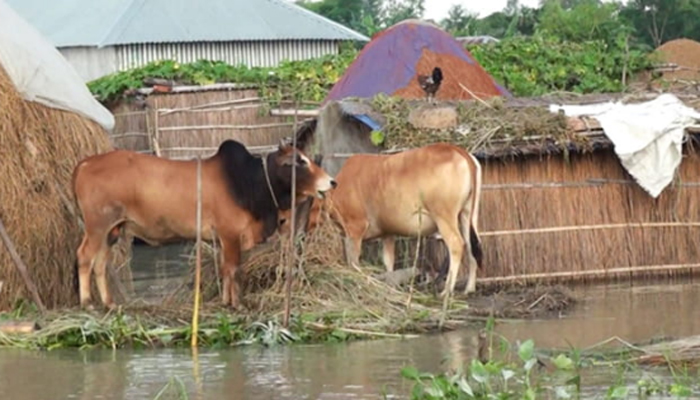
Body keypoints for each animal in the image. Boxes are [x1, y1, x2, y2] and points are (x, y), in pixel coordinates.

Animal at [72, 139, 334, 310]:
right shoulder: (230, 235)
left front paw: (226, 301)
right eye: (299, 161)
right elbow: (234, 269)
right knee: (84, 256)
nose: (332, 181)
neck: (249, 181)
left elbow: (225, 270)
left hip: (112, 230)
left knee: (100, 263)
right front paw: (238, 304)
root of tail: (85, 163)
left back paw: (109, 303)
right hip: (97, 226)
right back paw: (86, 303)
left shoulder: (222, 240)